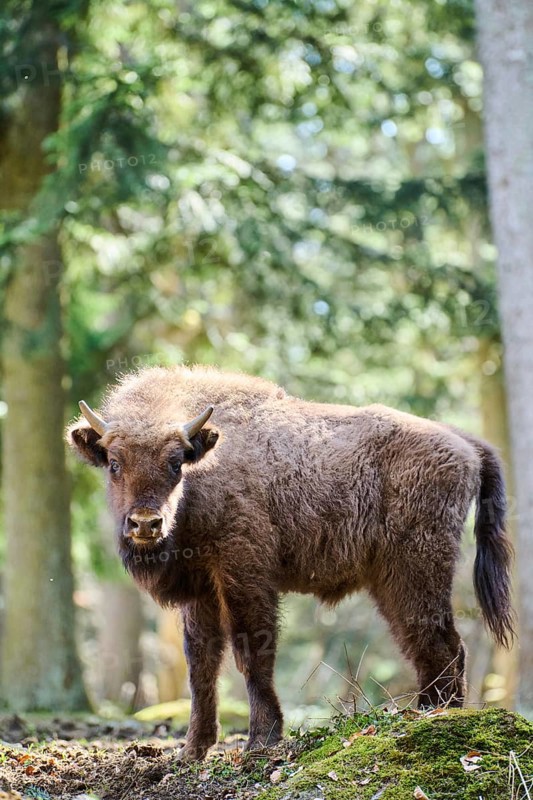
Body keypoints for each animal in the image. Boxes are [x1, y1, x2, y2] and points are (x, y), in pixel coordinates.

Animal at [67, 365, 514, 761]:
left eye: (176, 463)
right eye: (114, 463)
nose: (146, 523)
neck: (208, 463)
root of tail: (463, 443)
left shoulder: (244, 575)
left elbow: (252, 652)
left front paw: (260, 742)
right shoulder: (202, 589)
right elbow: (201, 664)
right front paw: (192, 752)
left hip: (415, 572)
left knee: (441, 643)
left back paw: (432, 719)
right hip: (394, 582)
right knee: (428, 645)